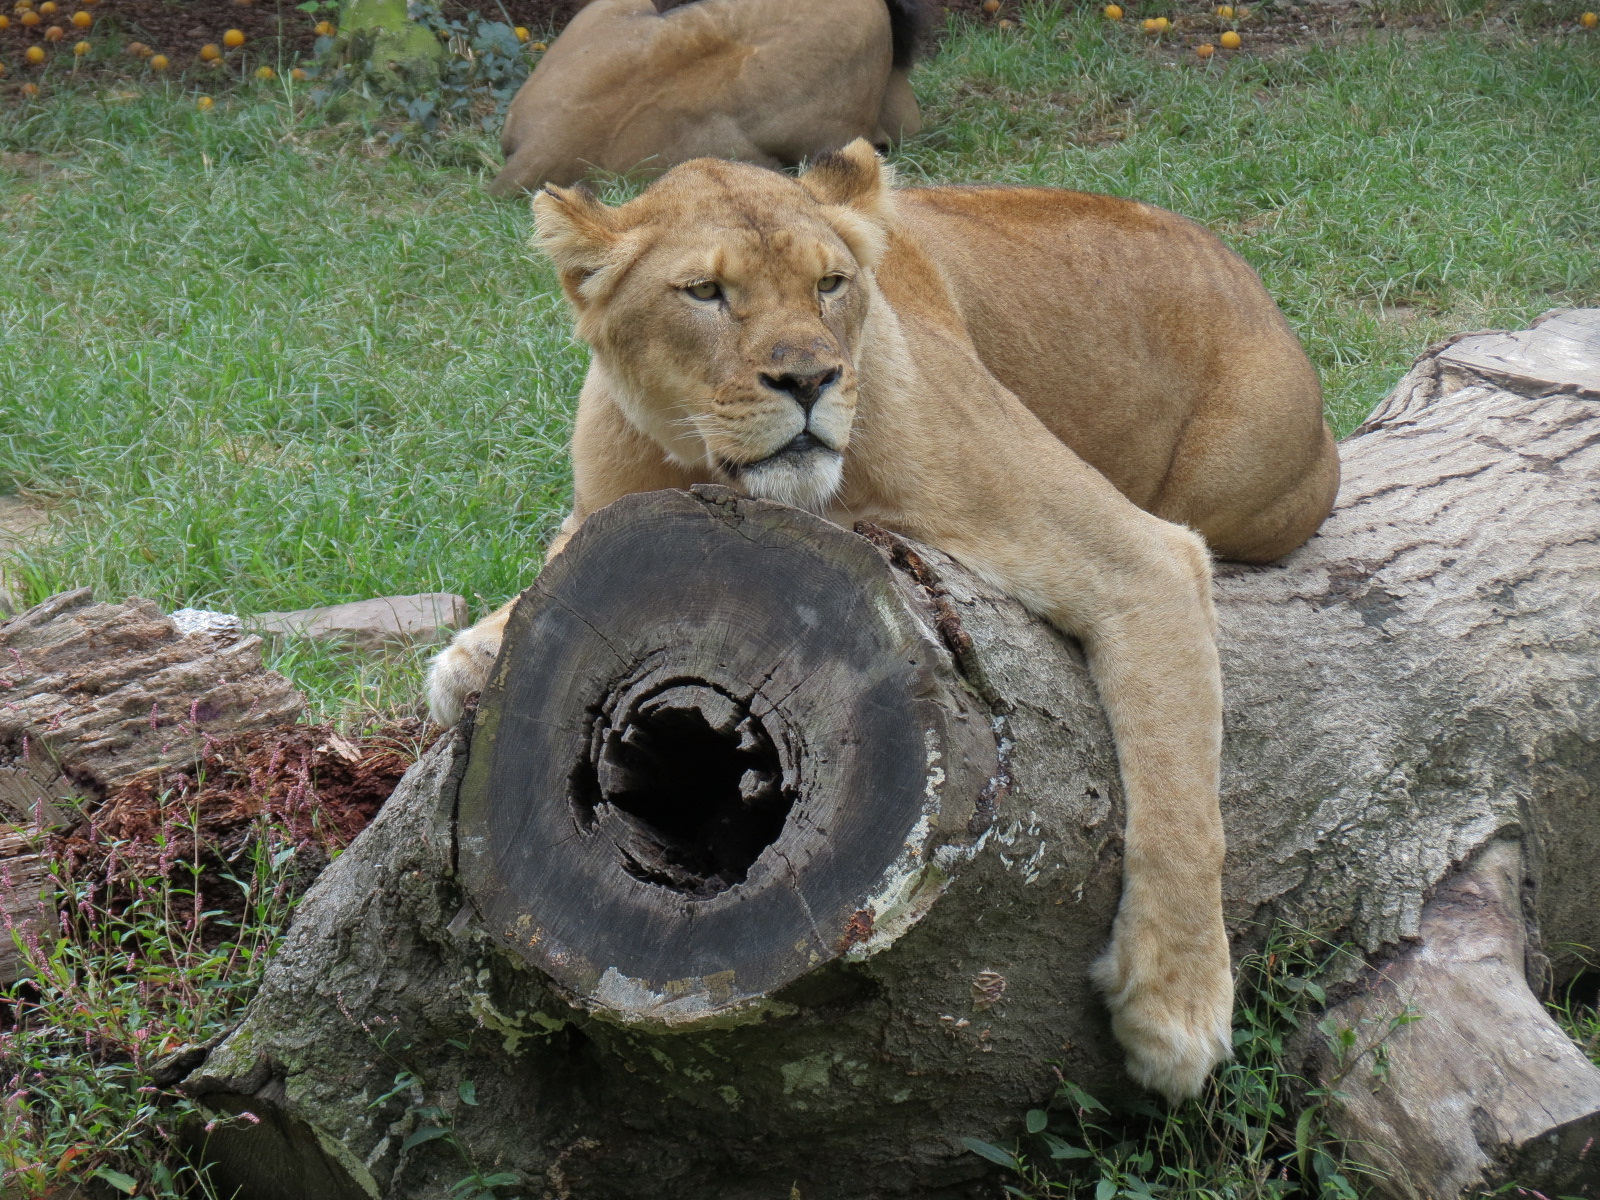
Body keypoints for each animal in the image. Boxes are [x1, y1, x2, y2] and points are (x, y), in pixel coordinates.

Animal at [428, 141, 1339, 1100]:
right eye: (705, 292)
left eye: (829, 284)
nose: (809, 380)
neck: (713, 470)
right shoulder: (599, 500)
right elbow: (547, 560)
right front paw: (470, 655)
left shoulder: (1142, 562)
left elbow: (1181, 800)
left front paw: (1176, 1010)